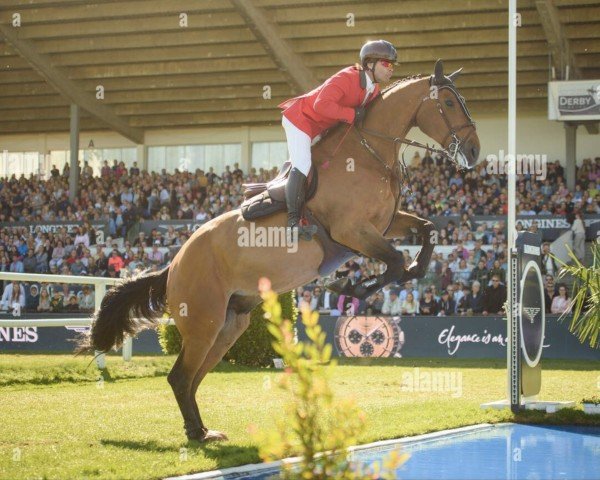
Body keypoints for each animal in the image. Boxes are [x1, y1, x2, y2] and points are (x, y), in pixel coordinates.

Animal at [77, 60, 482, 442]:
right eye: (449, 102)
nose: (475, 151)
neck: (370, 153)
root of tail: (173, 265)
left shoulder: (384, 224)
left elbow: (424, 235)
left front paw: (369, 283)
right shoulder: (352, 230)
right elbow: (397, 262)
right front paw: (349, 287)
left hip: (230, 324)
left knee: (191, 377)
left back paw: (203, 431)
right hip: (204, 321)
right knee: (181, 376)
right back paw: (196, 433)